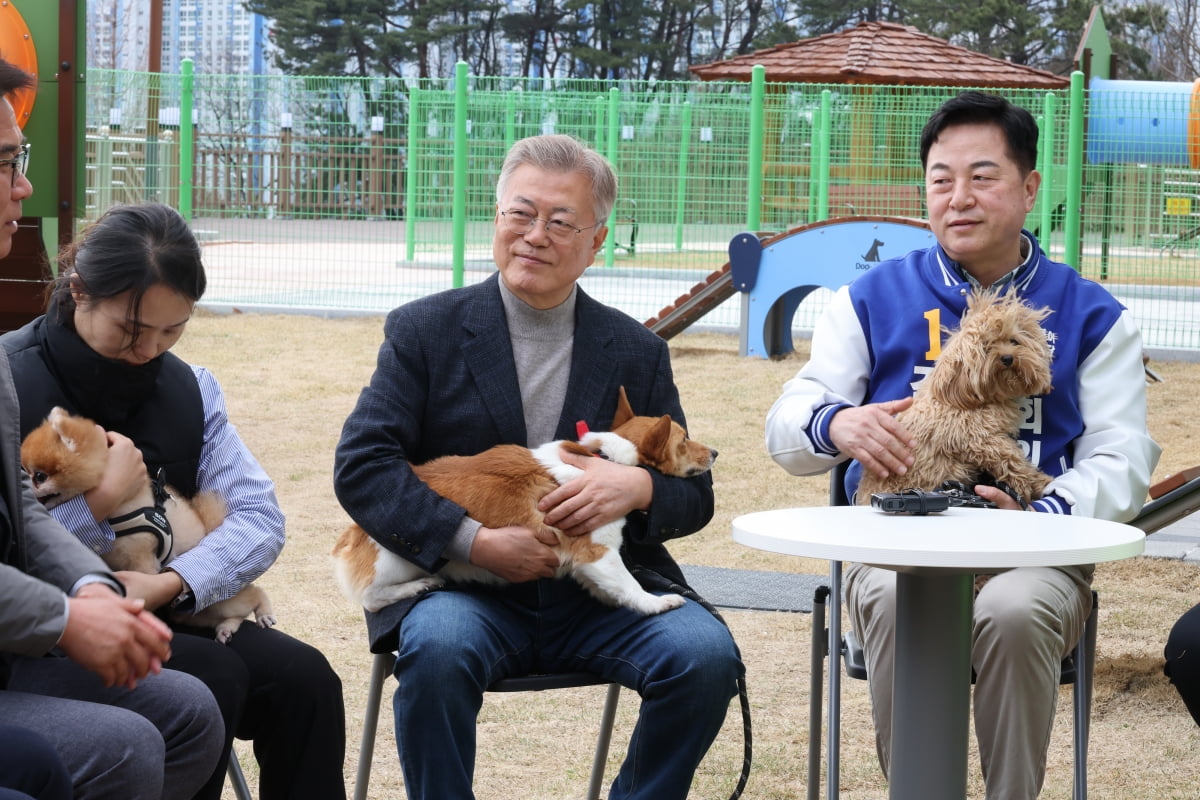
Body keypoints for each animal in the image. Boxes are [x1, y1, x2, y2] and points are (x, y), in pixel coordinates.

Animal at [21, 407, 276, 642]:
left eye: (40, 476)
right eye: (24, 469)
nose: (22, 481)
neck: (118, 508)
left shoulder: (142, 560)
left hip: (216, 601)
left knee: (253, 594)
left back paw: (263, 613)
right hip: (192, 612)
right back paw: (226, 628)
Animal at [333, 388, 715, 618]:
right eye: (685, 439)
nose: (715, 452)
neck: (606, 456)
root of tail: (352, 533)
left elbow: (612, 587)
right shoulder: (598, 553)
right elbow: (630, 585)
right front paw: (656, 602)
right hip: (397, 560)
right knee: (372, 597)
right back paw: (418, 585)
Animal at [859, 287, 1056, 506]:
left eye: (1014, 341)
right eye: (987, 346)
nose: (1007, 358)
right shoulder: (977, 437)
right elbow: (1011, 458)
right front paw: (1033, 483)